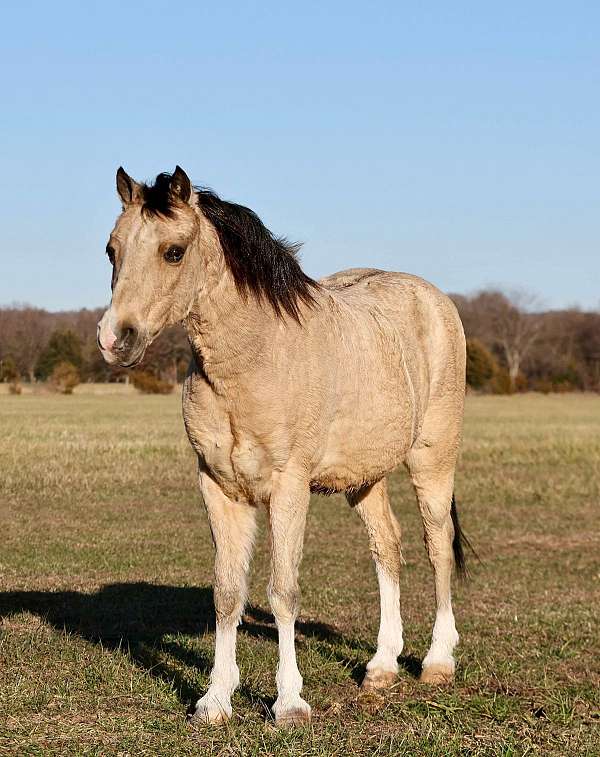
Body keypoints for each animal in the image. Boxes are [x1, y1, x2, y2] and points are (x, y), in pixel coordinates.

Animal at [97, 167, 468, 728]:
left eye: (173, 252)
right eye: (111, 250)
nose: (115, 338)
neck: (255, 358)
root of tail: (433, 299)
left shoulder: (288, 488)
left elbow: (283, 592)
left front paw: (289, 702)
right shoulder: (219, 488)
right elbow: (228, 593)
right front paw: (215, 701)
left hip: (432, 460)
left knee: (437, 545)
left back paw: (438, 662)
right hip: (366, 478)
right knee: (387, 546)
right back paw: (381, 667)